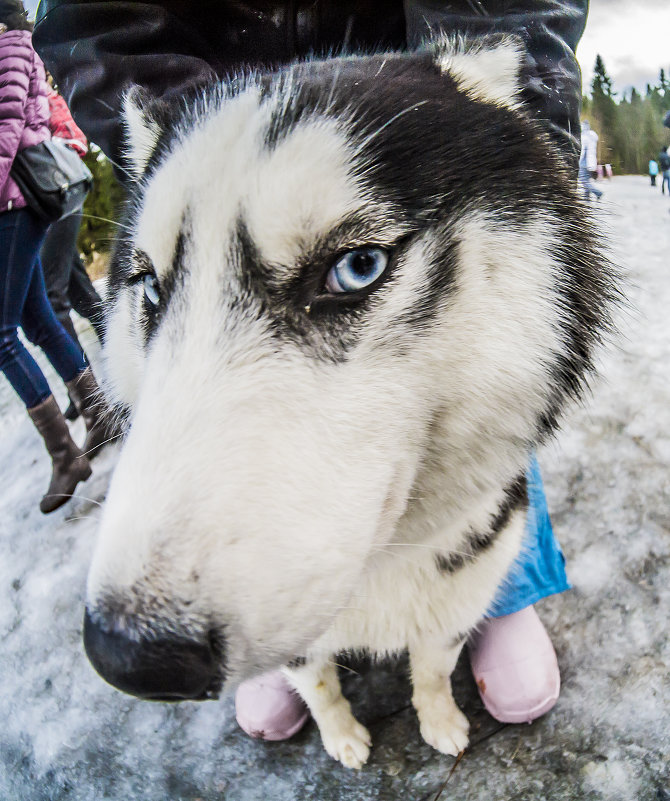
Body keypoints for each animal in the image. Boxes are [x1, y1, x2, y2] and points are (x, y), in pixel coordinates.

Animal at [81, 34, 616, 764]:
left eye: (357, 268)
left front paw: (440, 720)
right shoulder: (302, 643)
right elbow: (319, 685)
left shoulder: (456, 595)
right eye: (153, 291)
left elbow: (431, 668)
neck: (380, 571)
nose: (133, 655)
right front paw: (341, 736)